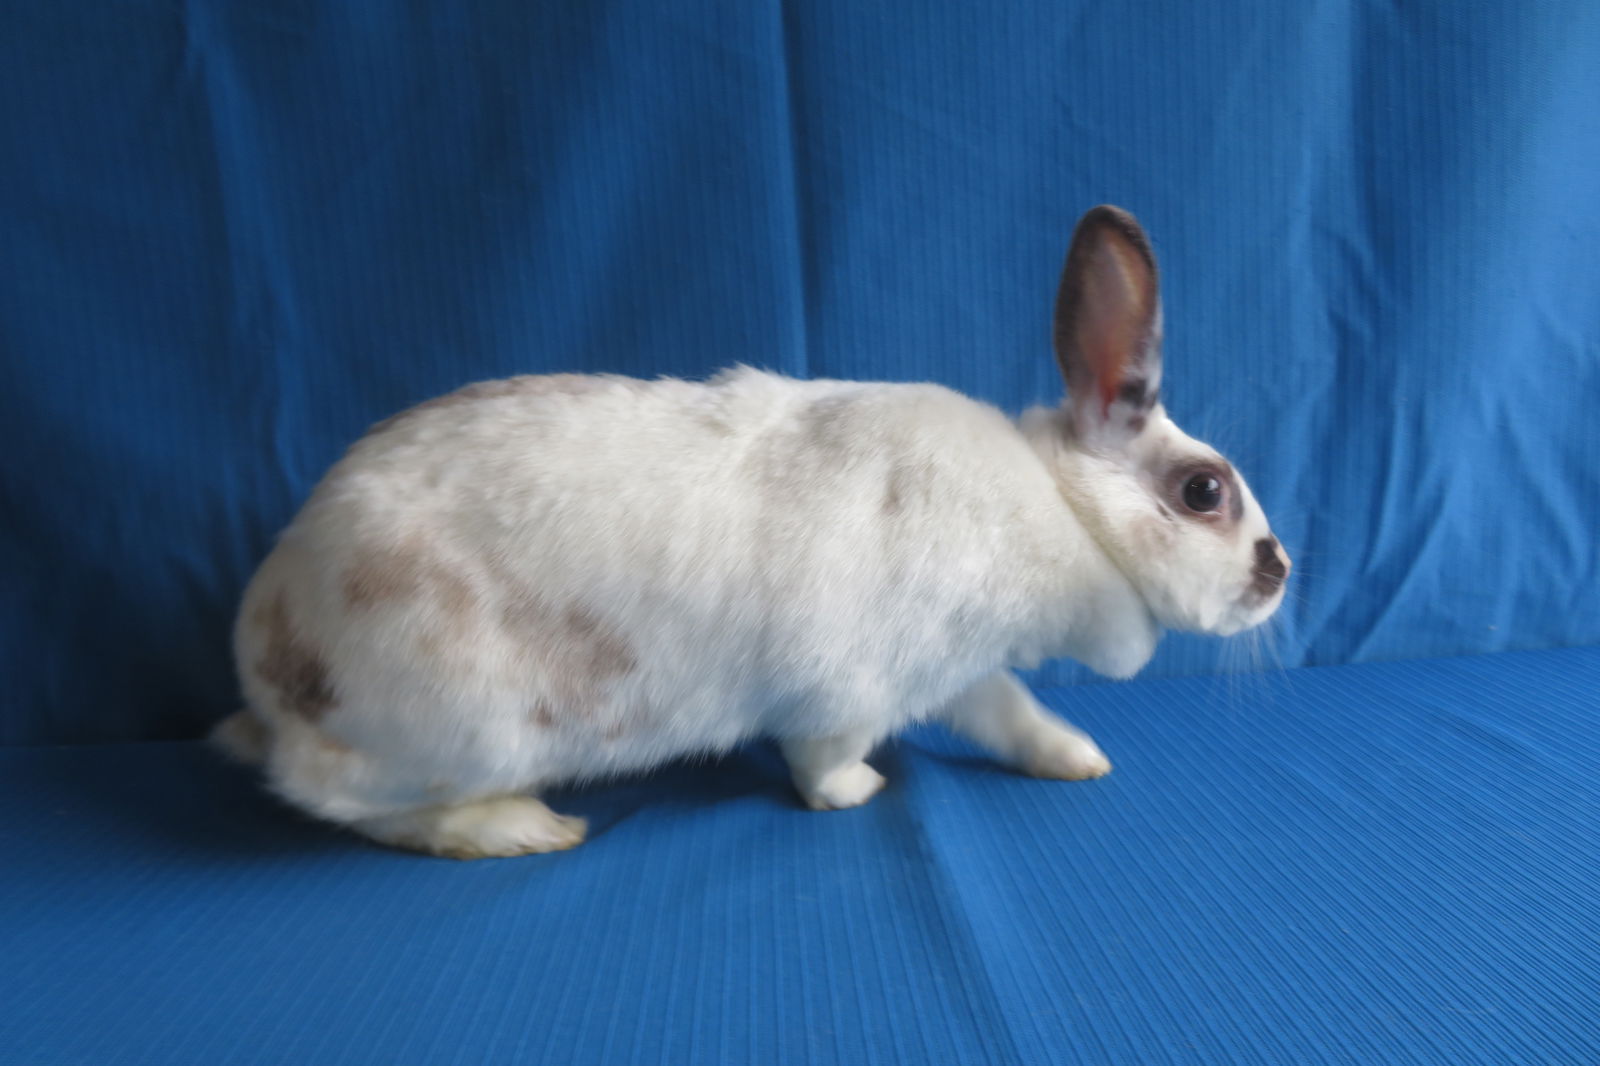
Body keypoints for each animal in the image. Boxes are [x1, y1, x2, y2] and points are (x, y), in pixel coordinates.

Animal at [216, 204, 1286, 857]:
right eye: (1204, 492)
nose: (1279, 574)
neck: (1063, 509)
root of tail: (266, 640)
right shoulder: (851, 690)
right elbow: (823, 762)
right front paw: (859, 793)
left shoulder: (958, 669)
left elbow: (1009, 712)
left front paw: (1076, 756)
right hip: (463, 726)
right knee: (333, 797)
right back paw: (517, 828)